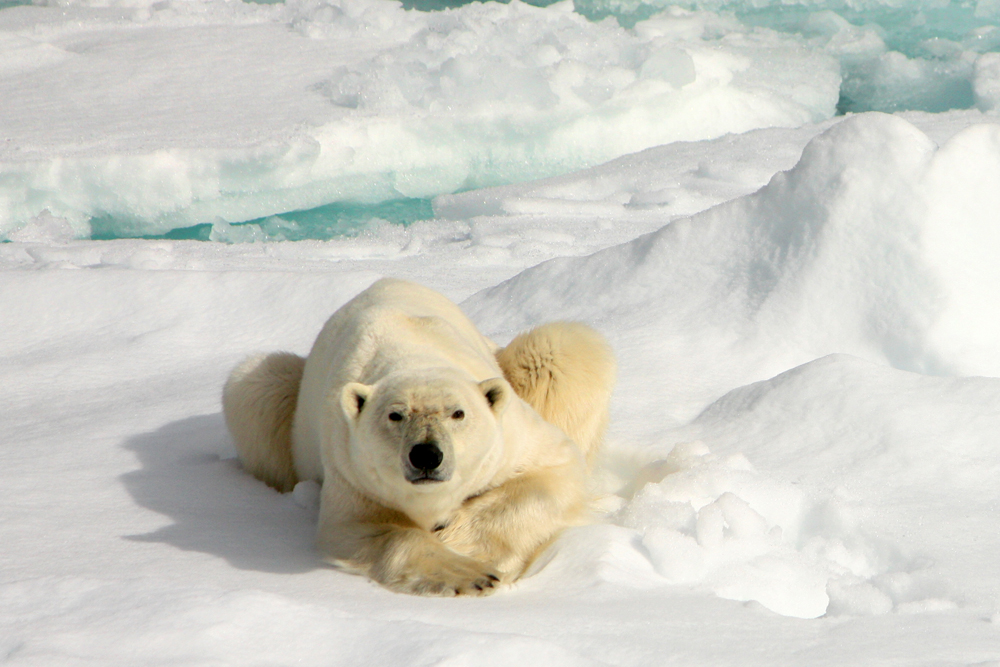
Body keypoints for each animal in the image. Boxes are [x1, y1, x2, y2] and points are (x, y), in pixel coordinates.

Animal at [226, 276, 612, 596]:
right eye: (395, 415)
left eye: (458, 413)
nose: (427, 455)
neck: (414, 355)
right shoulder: (351, 465)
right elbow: (363, 528)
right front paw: (465, 573)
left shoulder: (512, 440)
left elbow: (550, 472)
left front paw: (461, 545)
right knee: (257, 389)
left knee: (563, 348)